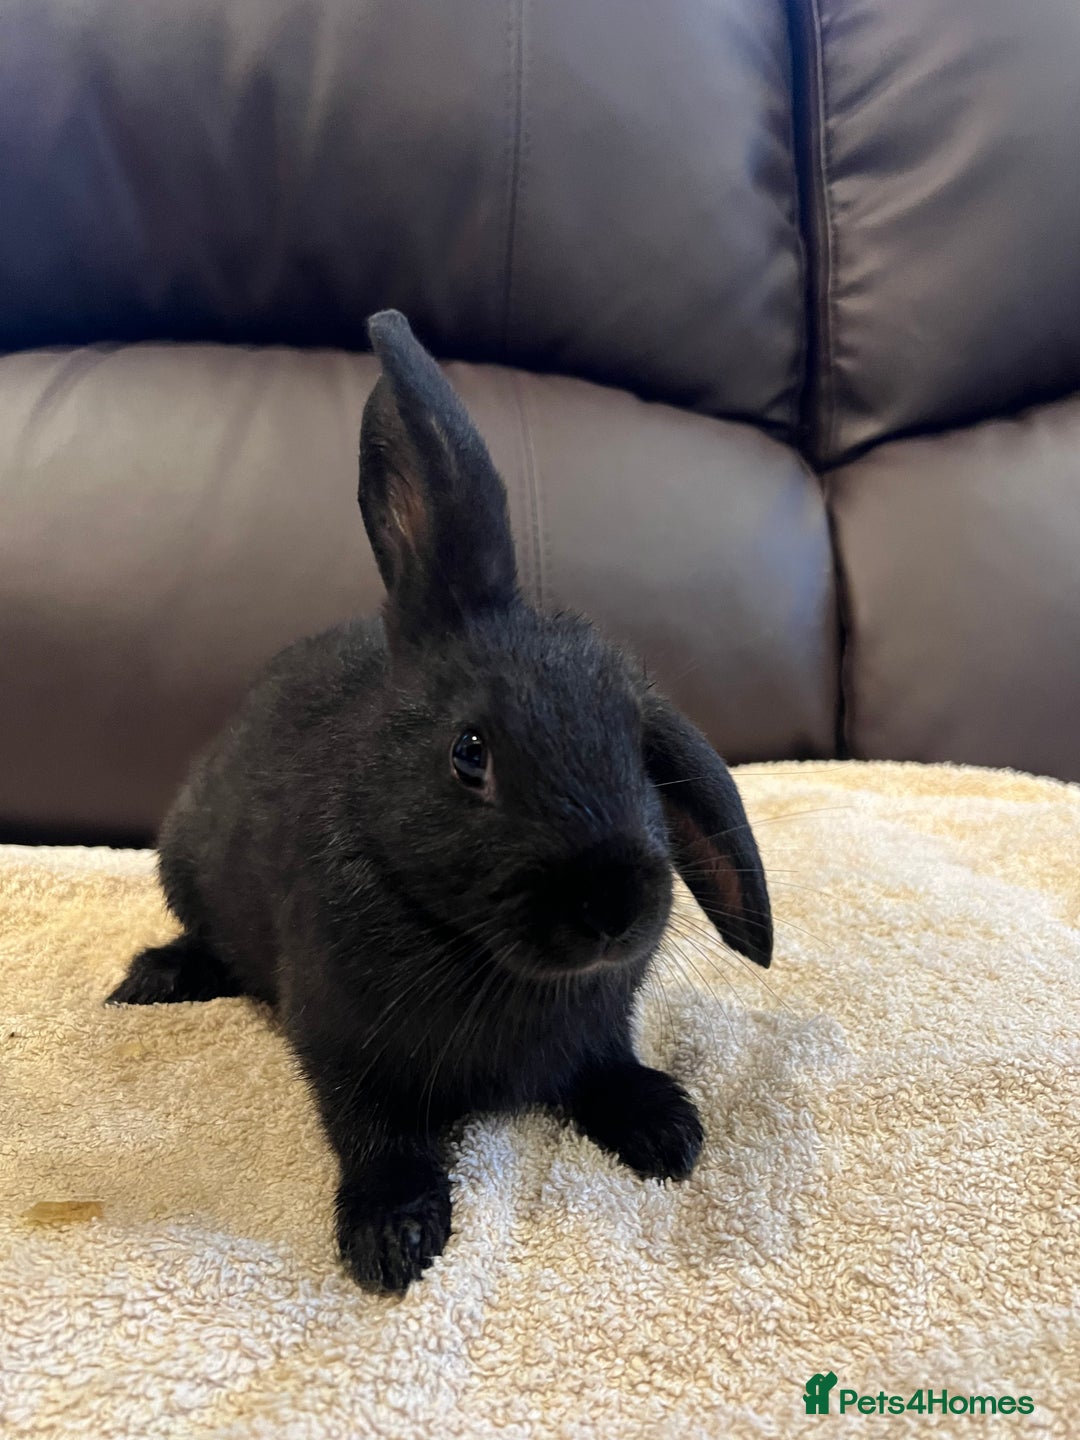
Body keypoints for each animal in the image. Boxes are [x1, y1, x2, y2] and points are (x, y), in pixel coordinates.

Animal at [107, 310, 772, 1294]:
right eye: (469, 754)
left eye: (641, 753)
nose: (612, 908)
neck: (485, 959)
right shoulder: (343, 1046)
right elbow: (373, 1133)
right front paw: (391, 1238)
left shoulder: (595, 1029)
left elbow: (603, 1066)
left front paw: (666, 1128)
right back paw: (153, 980)